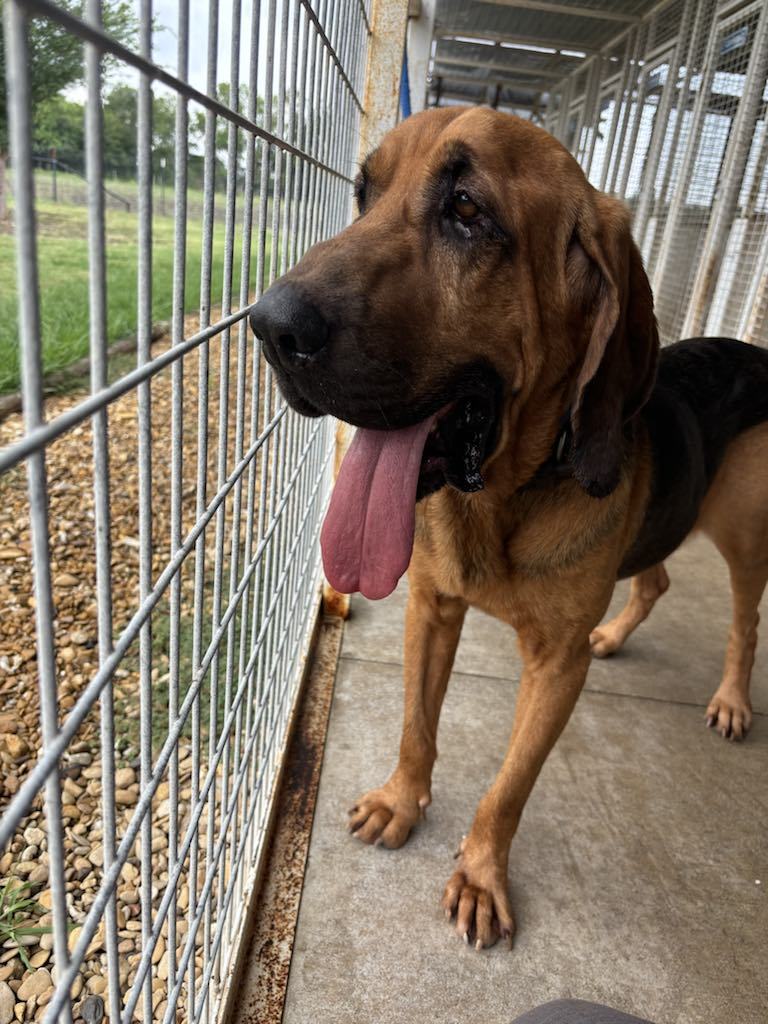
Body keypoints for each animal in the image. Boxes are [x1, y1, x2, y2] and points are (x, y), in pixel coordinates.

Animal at [249, 105, 765, 950]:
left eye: (467, 209)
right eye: (365, 194)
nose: (268, 327)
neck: (502, 499)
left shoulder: (555, 670)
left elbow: (509, 788)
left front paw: (481, 875)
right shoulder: (431, 609)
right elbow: (416, 726)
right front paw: (401, 801)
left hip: (746, 536)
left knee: (745, 621)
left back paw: (730, 700)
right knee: (654, 577)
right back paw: (618, 635)